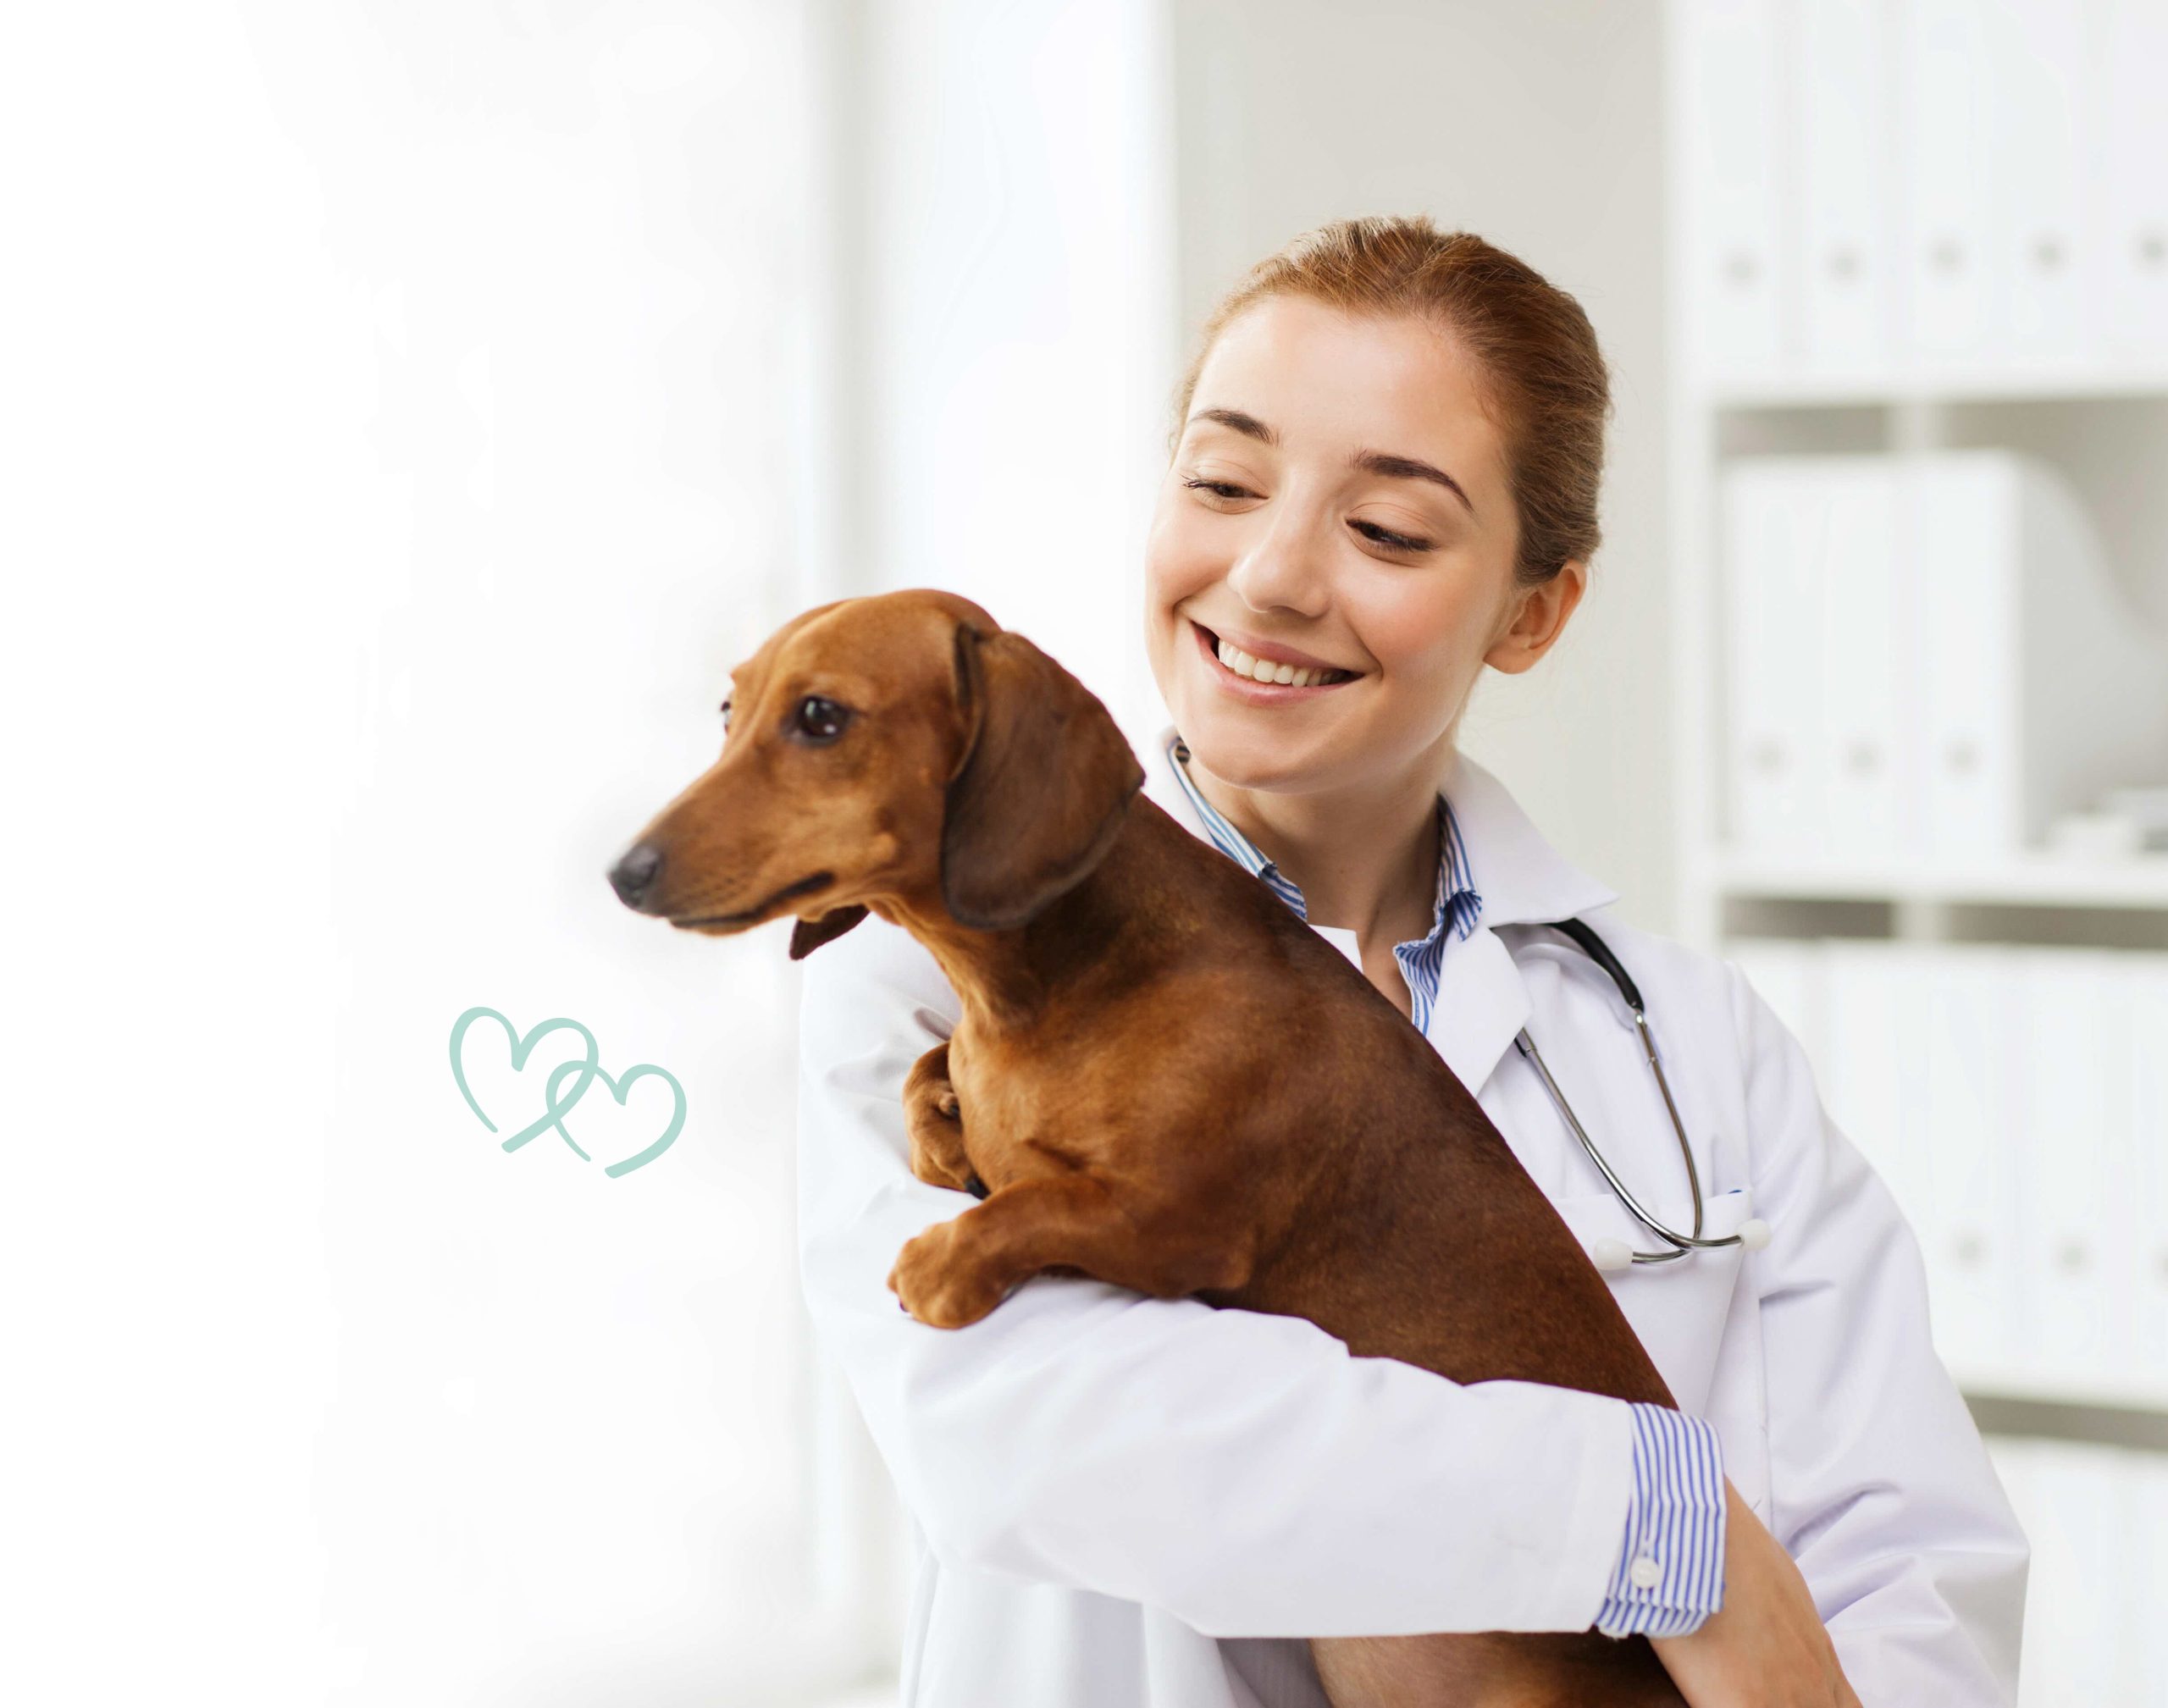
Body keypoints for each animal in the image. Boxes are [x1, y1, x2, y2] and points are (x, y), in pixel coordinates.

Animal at [606, 589, 1690, 1708]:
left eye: (820, 717)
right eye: (728, 709)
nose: (624, 875)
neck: (1055, 981)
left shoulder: (1181, 1223)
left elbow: (1036, 1201)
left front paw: (943, 1258)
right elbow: (928, 1076)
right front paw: (945, 1132)